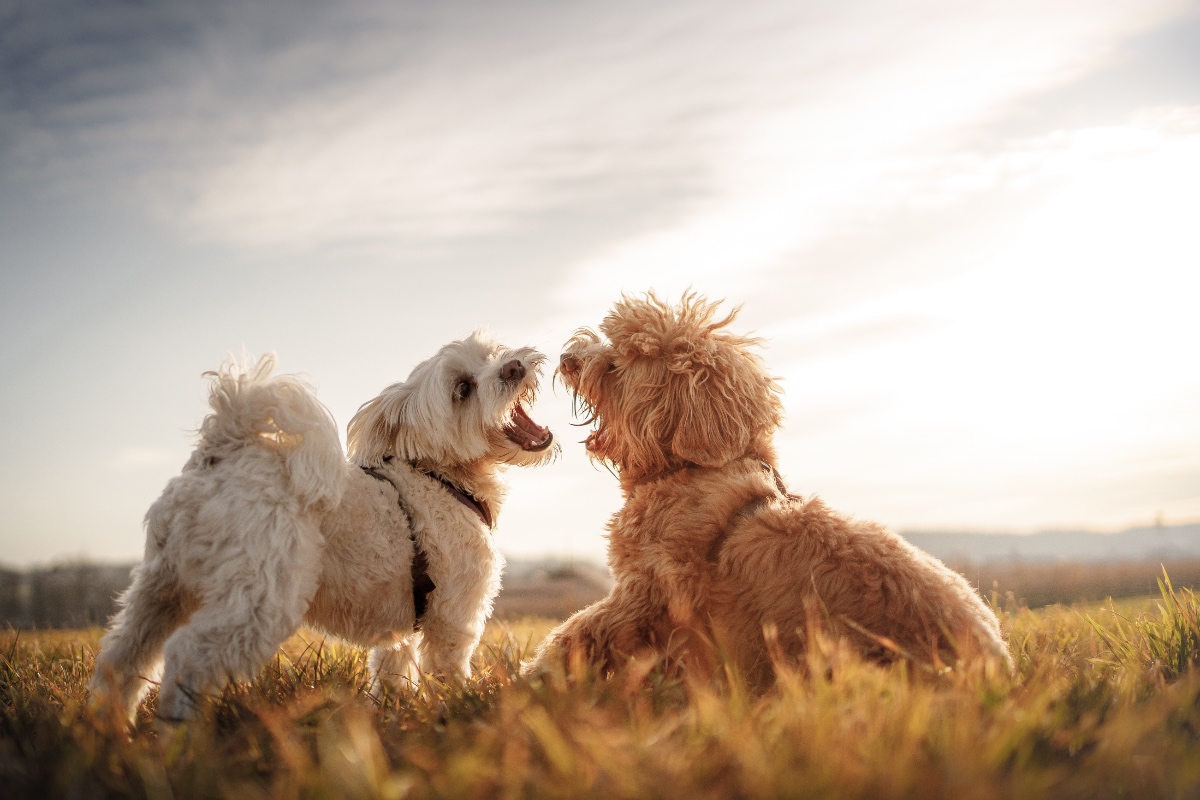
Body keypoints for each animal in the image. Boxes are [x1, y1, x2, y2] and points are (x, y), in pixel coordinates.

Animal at [88, 331, 556, 724]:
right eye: (462, 389)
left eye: (492, 353)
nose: (513, 367)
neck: (437, 477)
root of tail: (222, 452)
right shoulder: (452, 615)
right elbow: (447, 669)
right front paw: (462, 706)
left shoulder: (402, 628)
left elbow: (393, 671)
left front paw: (392, 714)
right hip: (259, 601)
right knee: (188, 658)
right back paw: (178, 742)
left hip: (159, 590)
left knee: (121, 660)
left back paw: (111, 734)